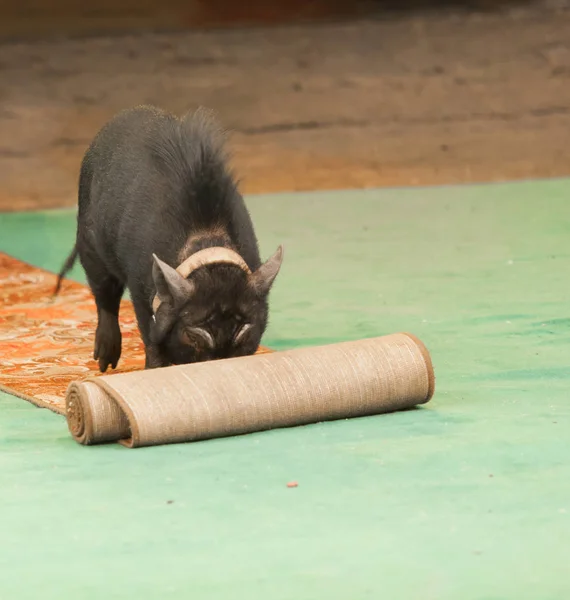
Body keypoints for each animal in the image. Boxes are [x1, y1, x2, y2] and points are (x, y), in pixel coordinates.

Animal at [55, 105, 282, 372]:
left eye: (246, 335)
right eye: (193, 336)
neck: (205, 241)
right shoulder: (139, 285)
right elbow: (149, 334)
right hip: (89, 244)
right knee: (104, 293)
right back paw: (105, 364)